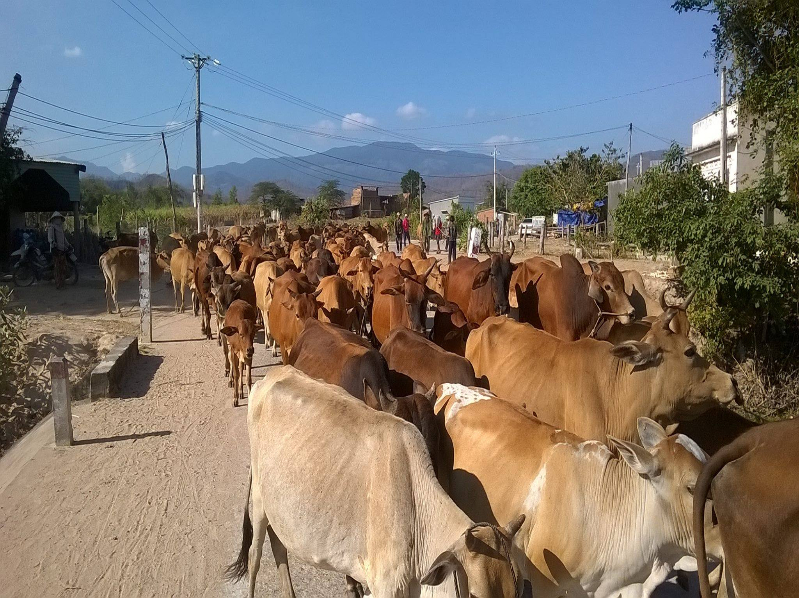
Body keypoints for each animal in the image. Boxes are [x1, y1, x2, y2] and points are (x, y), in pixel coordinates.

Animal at [225, 368, 528, 598]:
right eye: (475, 595)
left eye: (517, 592)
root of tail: (275, 373)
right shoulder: (385, 585)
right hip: (259, 500)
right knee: (254, 556)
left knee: (279, 544)